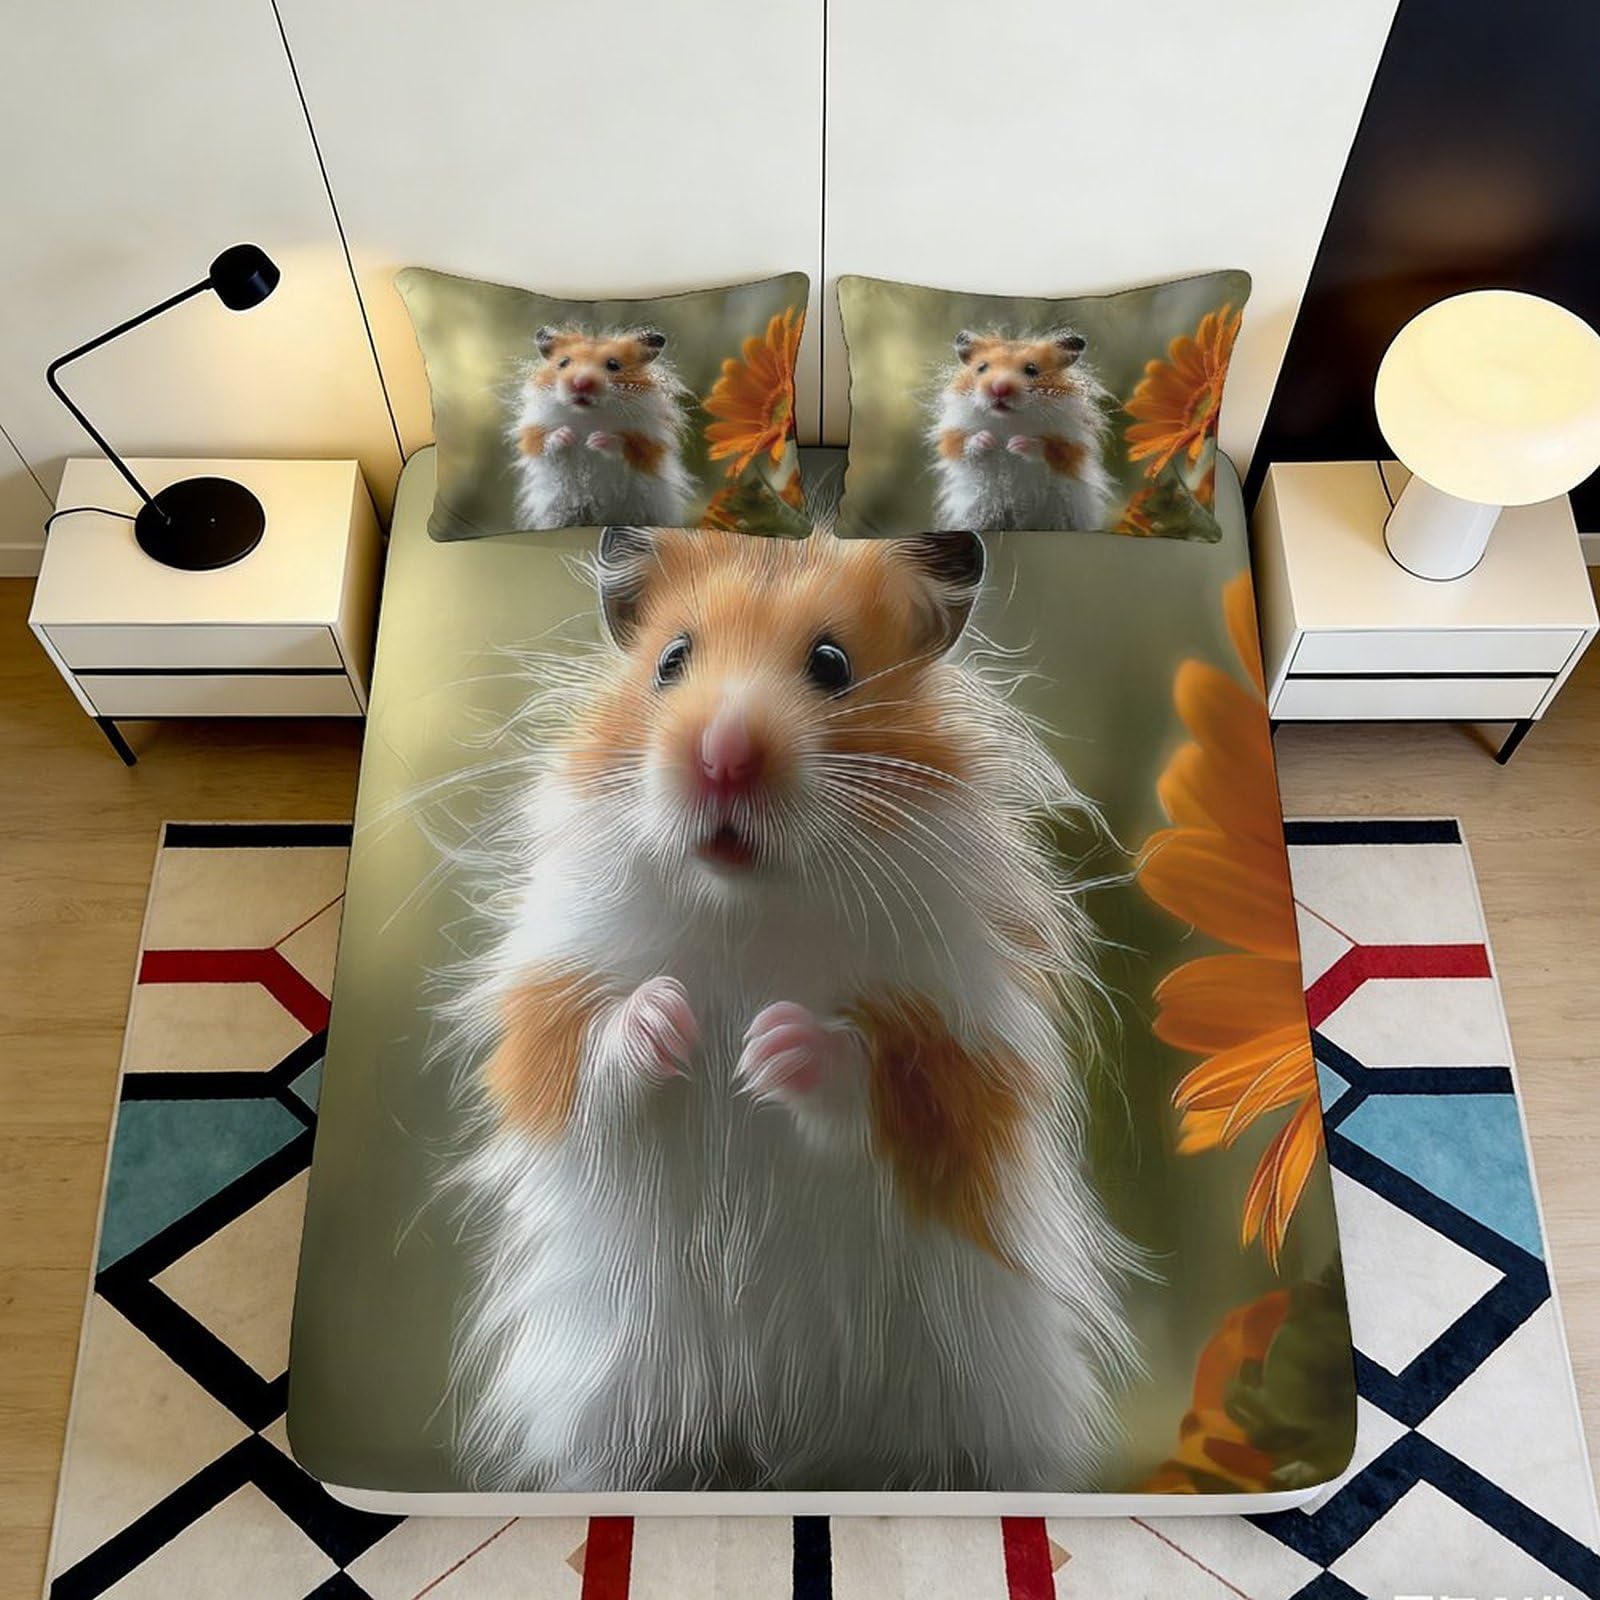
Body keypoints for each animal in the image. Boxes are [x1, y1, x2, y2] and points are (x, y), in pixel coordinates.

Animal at [446, 525, 1138, 1493]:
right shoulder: (546, 1014)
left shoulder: (965, 1065)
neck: (749, 909)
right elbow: (586, 1063)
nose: (723, 755)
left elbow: (886, 1090)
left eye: (832, 664)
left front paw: (770, 1045)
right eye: (670, 661)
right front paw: (671, 1017)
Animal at [509, 326, 694, 528]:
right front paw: (568, 435)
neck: (588, 416)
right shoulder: (533, 434)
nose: (580, 384)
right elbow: (545, 445)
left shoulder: (646, 446)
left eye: (613, 365)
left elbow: (625, 448)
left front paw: (595, 440)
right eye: (563, 363)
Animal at [928, 328, 1112, 532]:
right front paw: (988, 440)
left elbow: (1049, 449)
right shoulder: (952, 435)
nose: (999, 389)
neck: (1009, 421)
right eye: (981, 368)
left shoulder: (1070, 446)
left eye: (1031, 370)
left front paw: (1015, 444)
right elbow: (962, 446)